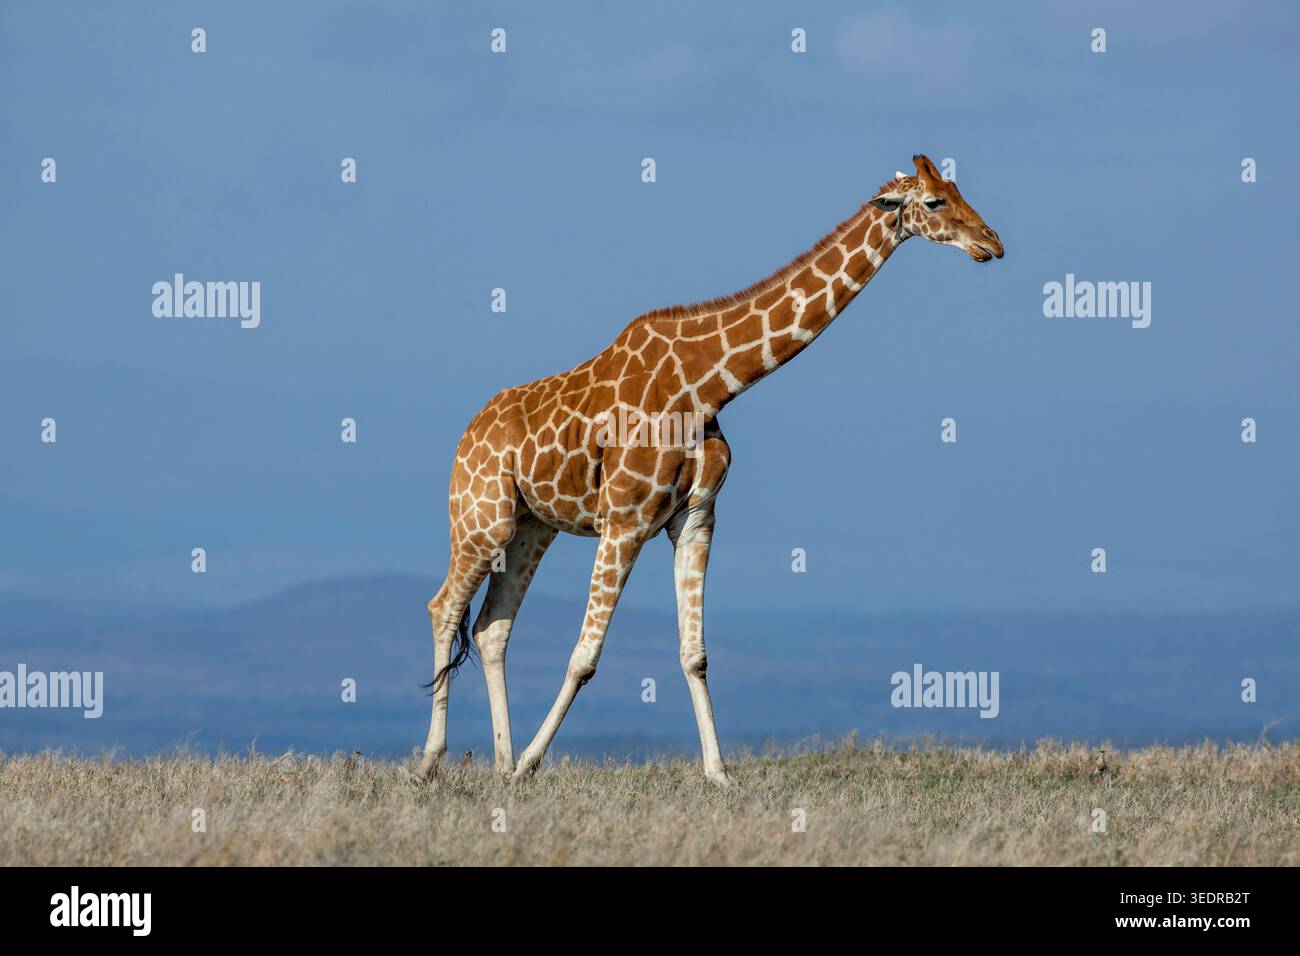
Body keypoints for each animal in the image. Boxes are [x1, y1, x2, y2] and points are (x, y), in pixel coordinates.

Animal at [415, 154, 1003, 786]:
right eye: (936, 202)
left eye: (959, 190)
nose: (992, 242)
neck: (707, 385)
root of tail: (468, 432)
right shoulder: (624, 521)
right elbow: (584, 658)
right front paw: (531, 762)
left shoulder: (696, 518)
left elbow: (694, 655)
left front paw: (718, 773)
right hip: (481, 517)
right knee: (444, 608)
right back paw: (432, 762)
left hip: (531, 528)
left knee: (491, 628)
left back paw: (498, 763)